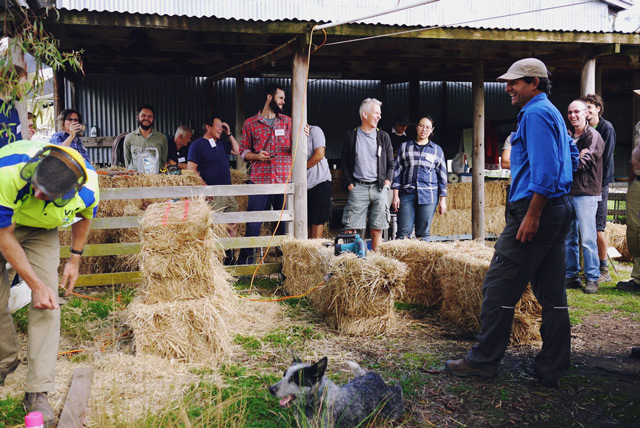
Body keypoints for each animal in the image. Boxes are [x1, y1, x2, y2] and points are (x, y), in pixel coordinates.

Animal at [270, 354, 404, 428]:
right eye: (284, 375)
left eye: (295, 380)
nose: (271, 389)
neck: (317, 401)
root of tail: (372, 375)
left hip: (393, 411)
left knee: (398, 391)